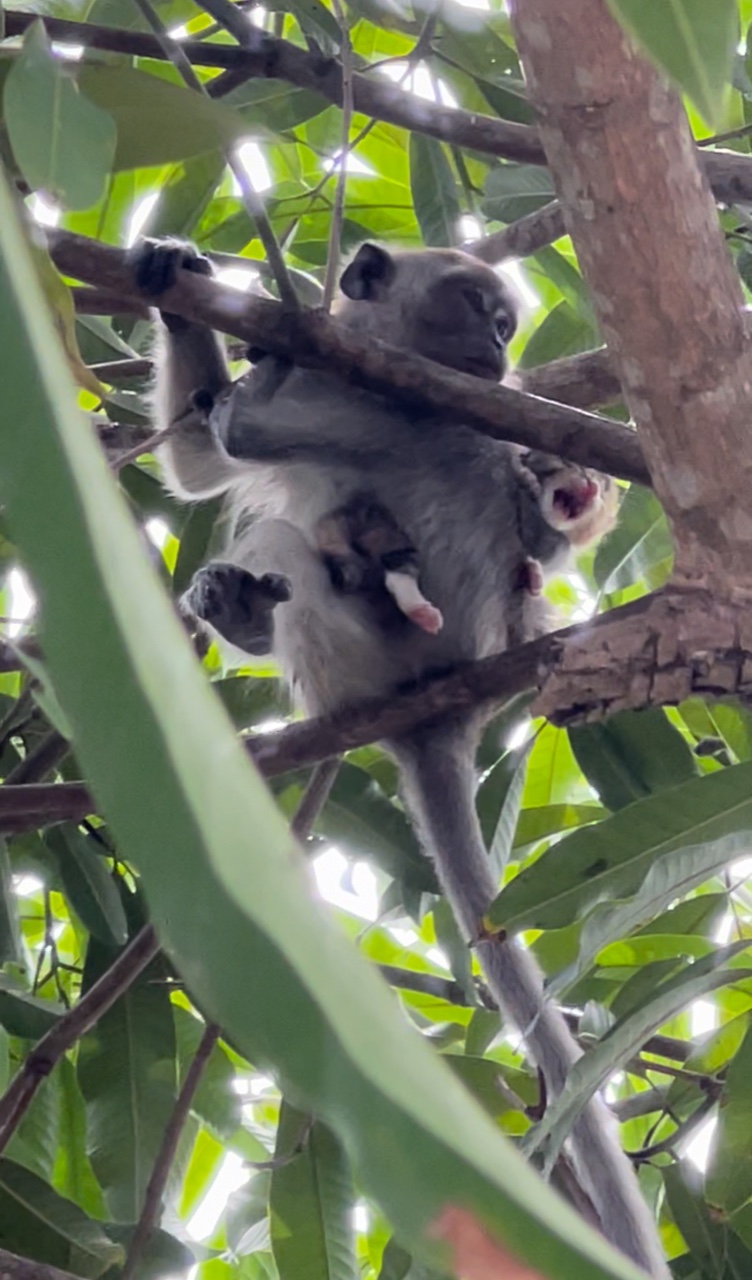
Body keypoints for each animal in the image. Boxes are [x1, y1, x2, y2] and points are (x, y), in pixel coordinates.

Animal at [133, 240, 670, 1280]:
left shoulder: (416, 403)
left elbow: (232, 457)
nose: (498, 350)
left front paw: (252, 386)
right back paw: (248, 598)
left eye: (507, 323)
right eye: (480, 310)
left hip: (395, 632)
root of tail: (442, 706)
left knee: (312, 496)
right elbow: (196, 469)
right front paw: (179, 288)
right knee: (285, 532)